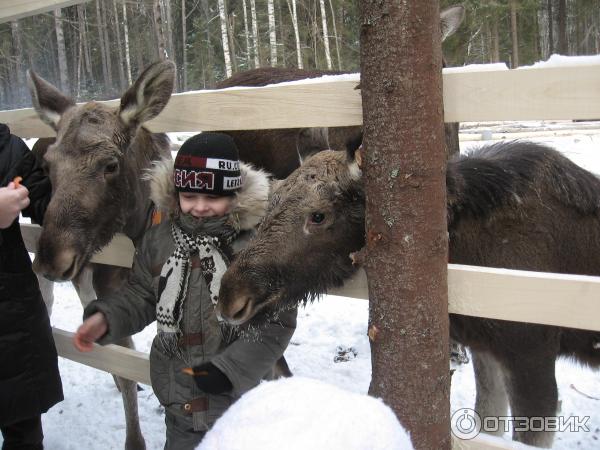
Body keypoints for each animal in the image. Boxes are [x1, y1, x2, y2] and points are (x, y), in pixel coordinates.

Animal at [218, 139, 600, 448]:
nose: (231, 297)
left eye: (319, 216)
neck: (465, 252)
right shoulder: (485, 347)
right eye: (269, 204)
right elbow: (487, 423)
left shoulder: (530, 351)